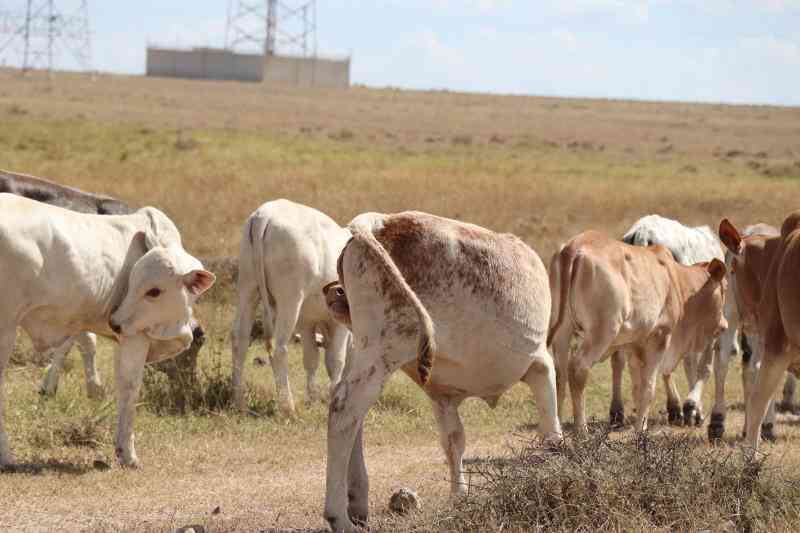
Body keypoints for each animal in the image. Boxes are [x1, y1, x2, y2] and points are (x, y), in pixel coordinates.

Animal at [0, 194, 214, 466]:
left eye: (153, 290)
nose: (114, 321)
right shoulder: (135, 336)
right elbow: (129, 387)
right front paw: (128, 454)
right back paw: (6, 456)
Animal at [230, 198, 352, 412]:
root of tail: (265, 214)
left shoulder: (307, 323)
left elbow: (311, 358)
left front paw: (313, 398)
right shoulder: (339, 323)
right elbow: (335, 361)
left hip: (247, 287)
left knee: (240, 339)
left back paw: (240, 403)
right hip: (290, 298)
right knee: (278, 348)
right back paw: (288, 407)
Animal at [322, 212, 560, 532]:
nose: (333, 290)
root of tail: (382, 221)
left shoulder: (442, 394)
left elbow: (454, 442)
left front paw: (459, 498)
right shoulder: (540, 365)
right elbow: (552, 432)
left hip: (361, 348)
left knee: (353, 416)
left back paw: (357, 503)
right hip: (382, 349)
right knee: (345, 411)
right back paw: (339, 517)